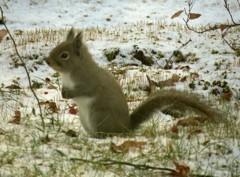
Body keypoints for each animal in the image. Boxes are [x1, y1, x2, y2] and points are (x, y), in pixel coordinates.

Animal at [46, 28, 222, 138]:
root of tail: (126, 128)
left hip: (98, 116)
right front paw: (62, 92)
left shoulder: (89, 81)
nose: (47, 61)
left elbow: (84, 90)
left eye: (64, 55)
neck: (71, 72)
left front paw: (68, 94)